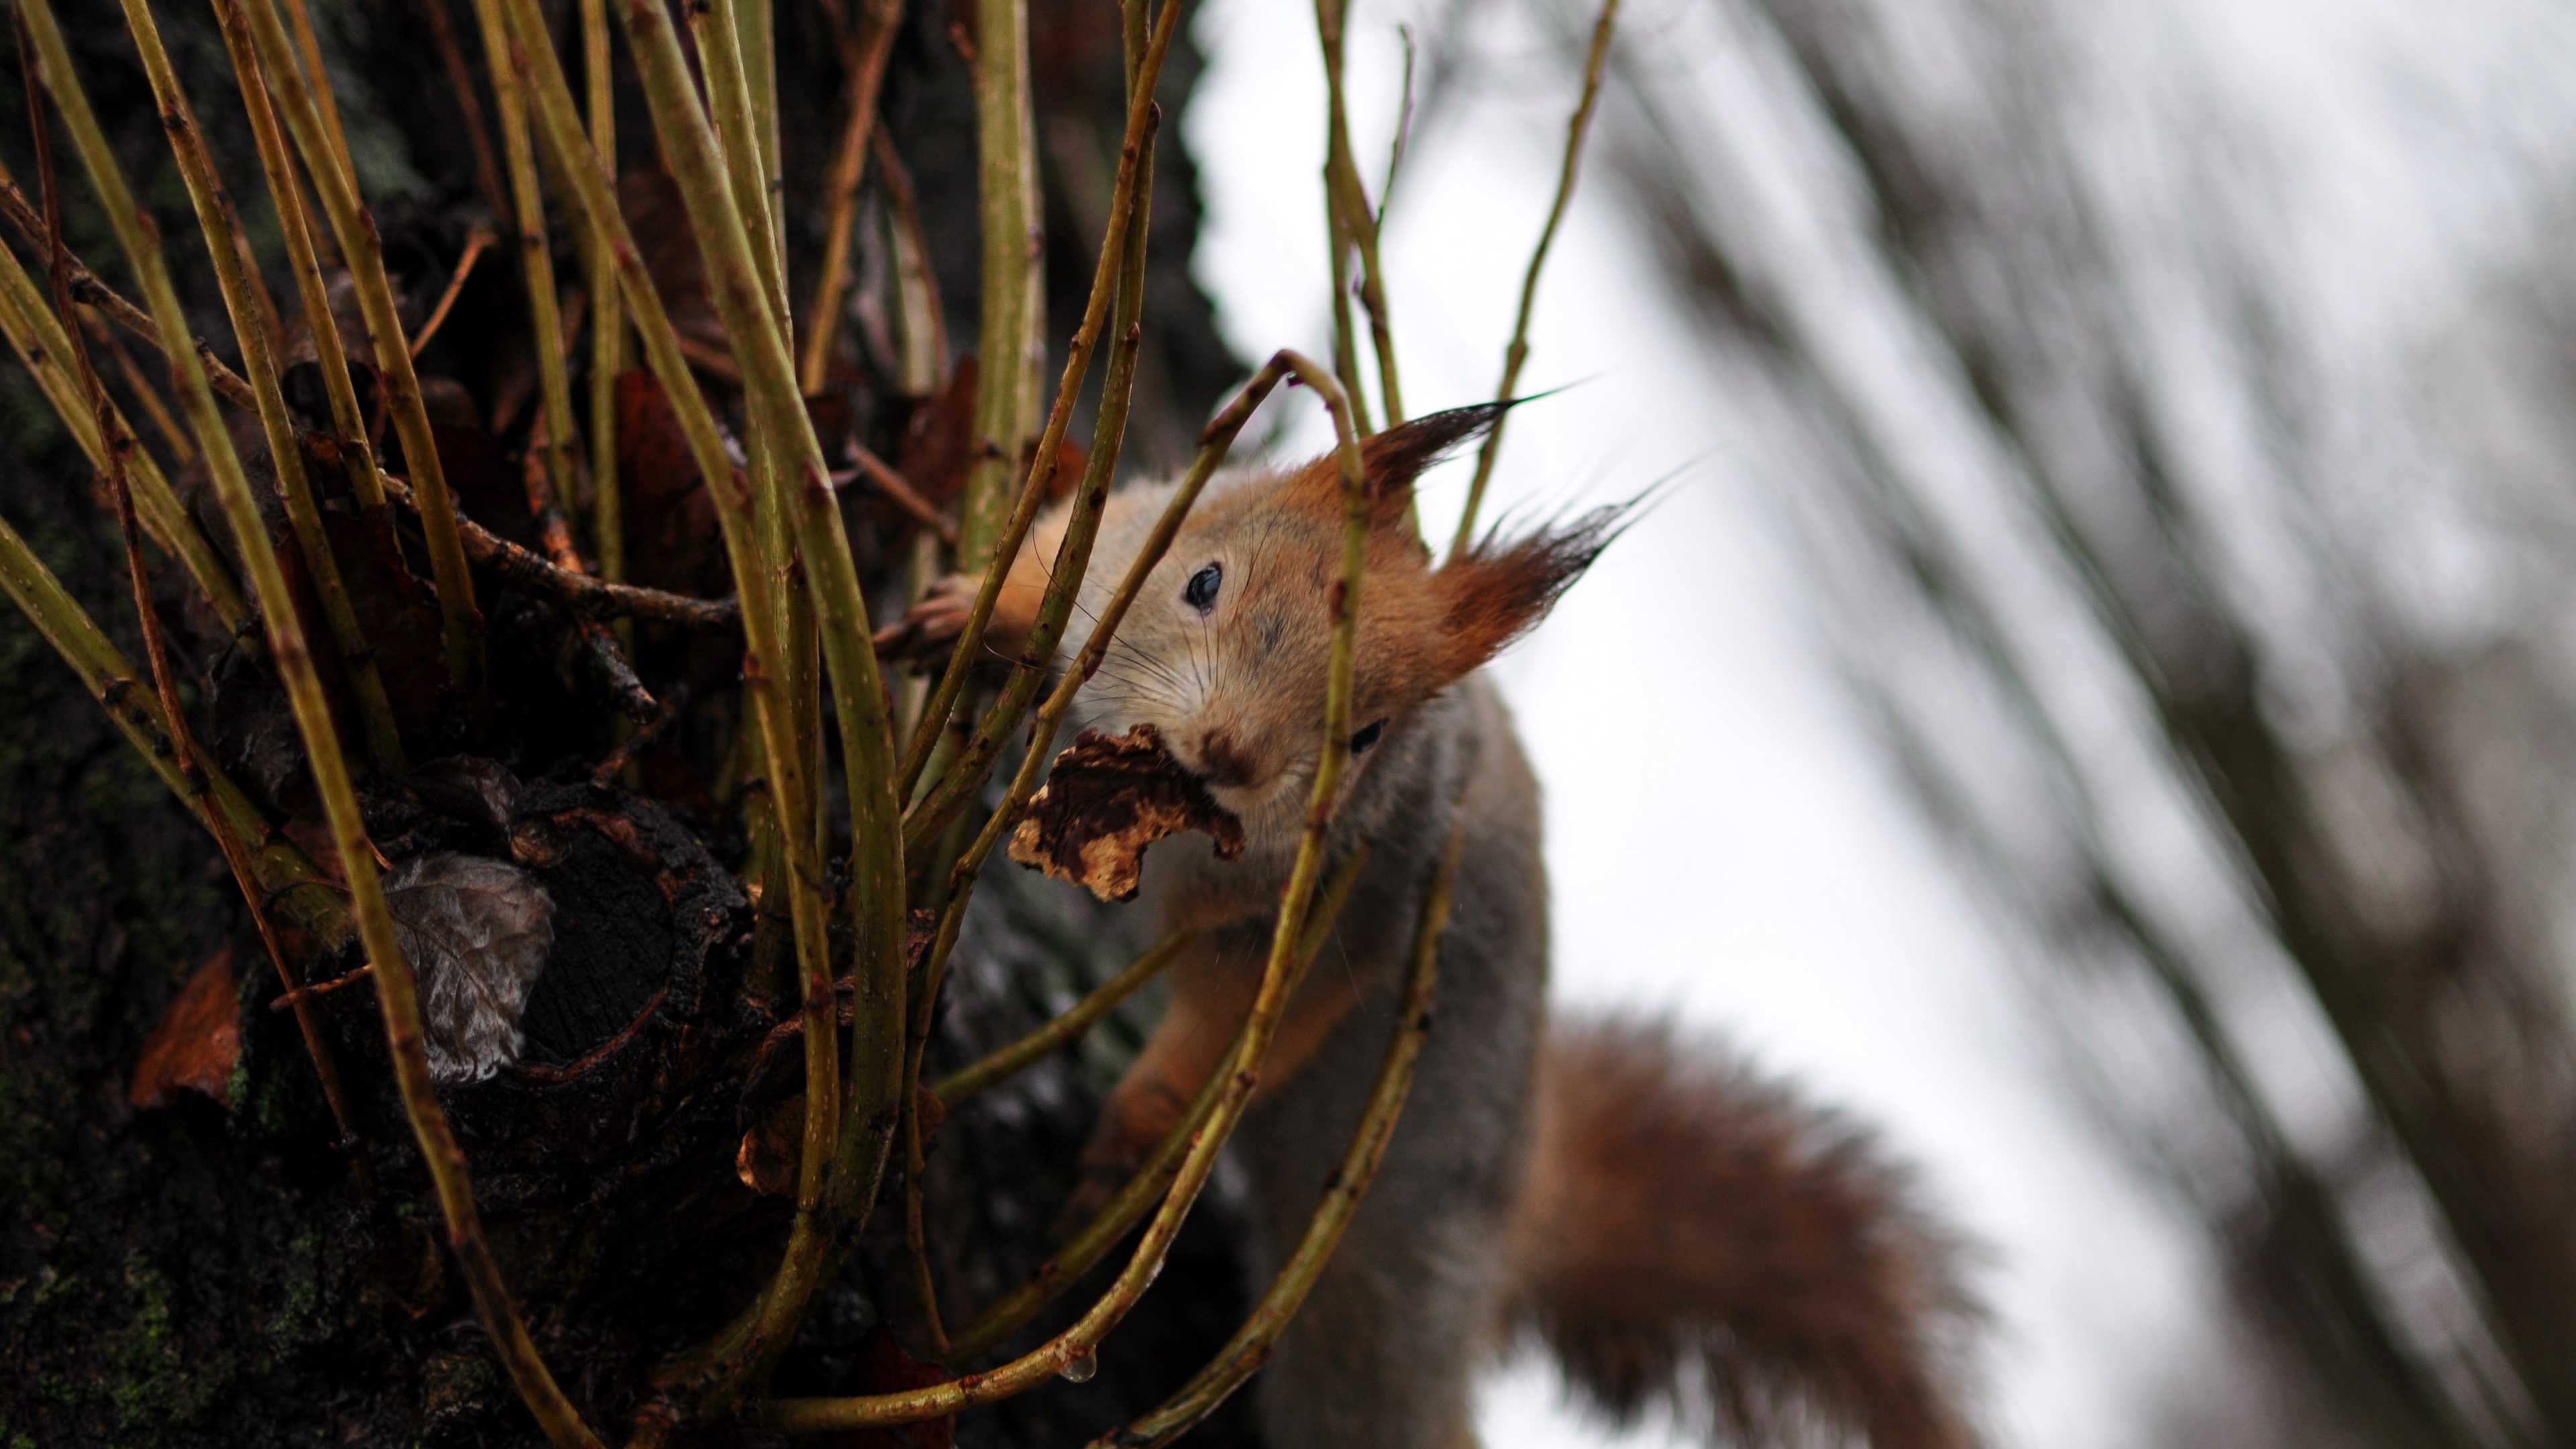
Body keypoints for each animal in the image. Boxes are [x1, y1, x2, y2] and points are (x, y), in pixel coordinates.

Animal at [896, 402, 1978, 1444]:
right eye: (1202, 581)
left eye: (1372, 735)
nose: (1232, 755)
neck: (1166, 820)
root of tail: (1515, 1210)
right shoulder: (1126, 537)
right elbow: (1053, 561)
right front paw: (966, 613)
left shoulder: (1342, 918)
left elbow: (1226, 1039)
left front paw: (1126, 1137)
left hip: (1379, 1303)